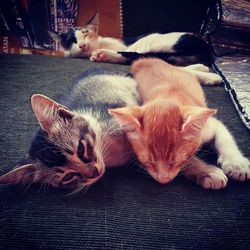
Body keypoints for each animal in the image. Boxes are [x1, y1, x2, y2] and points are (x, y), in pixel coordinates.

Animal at [49, 13, 214, 66]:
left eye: (85, 34)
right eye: (72, 41)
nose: (82, 45)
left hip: (154, 42)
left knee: (137, 55)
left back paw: (105, 55)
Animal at [109, 58, 250, 188]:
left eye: (175, 162)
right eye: (147, 162)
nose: (163, 180)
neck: (169, 97)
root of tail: (142, 62)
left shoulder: (211, 125)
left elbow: (226, 141)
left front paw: (237, 163)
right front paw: (206, 171)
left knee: (182, 69)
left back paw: (207, 73)